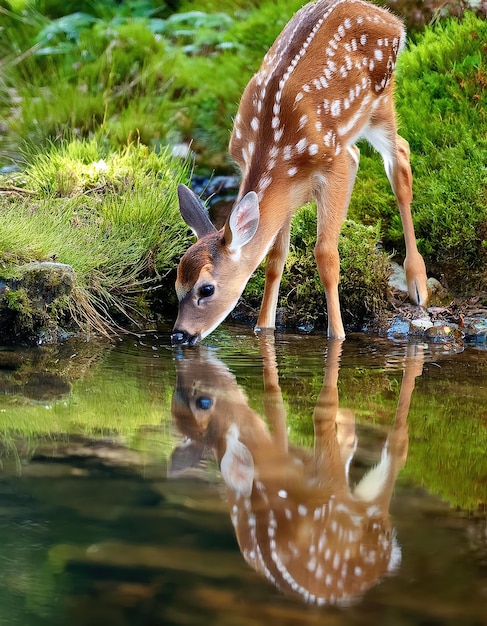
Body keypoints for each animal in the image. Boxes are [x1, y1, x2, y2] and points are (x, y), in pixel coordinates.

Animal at [171, 0, 428, 346]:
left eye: (206, 289)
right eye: (176, 284)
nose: (180, 335)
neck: (275, 150)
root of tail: (390, 18)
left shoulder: (334, 166)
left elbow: (326, 256)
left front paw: (338, 336)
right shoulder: (287, 189)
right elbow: (274, 259)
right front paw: (264, 329)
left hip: (381, 96)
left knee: (398, 156)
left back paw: (417, 283)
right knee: (377, 150)